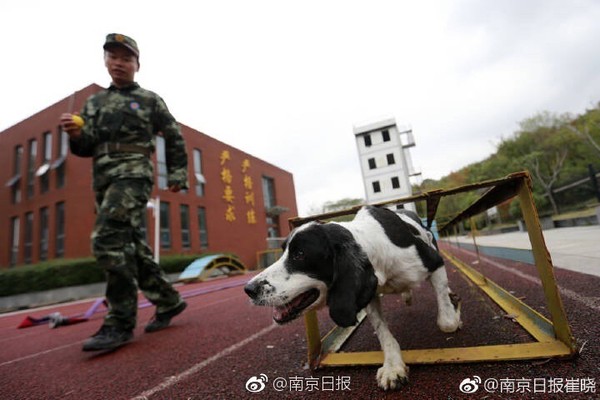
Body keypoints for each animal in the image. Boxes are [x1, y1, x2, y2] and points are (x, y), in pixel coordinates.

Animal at [246, 206, 462, 390]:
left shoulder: (435, 261)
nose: (249, 289)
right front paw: (393, 366)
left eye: (300, 254)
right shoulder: (370, 294)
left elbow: (447, 322)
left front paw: (454, 309)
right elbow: (383, 333)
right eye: (283, 251)